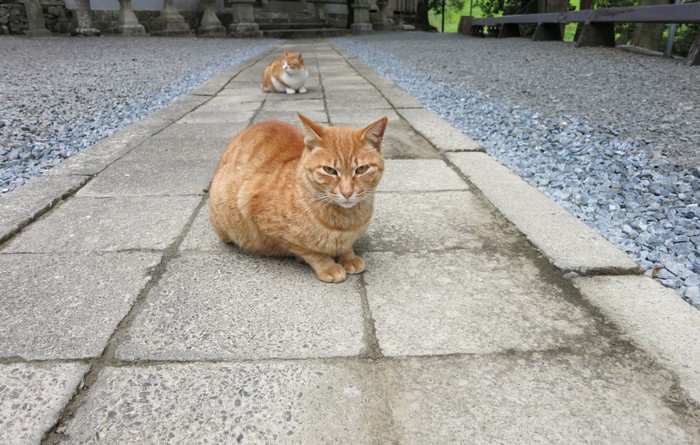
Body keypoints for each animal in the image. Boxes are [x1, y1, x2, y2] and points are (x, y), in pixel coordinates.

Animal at [211, 112, 392, 282]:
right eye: (329, 170)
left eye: (362, 169)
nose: (347, 192)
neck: (346, 221)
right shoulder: (265, 220)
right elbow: (311, 251)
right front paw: (328, 266)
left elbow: (345, 247)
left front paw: (348, 256)